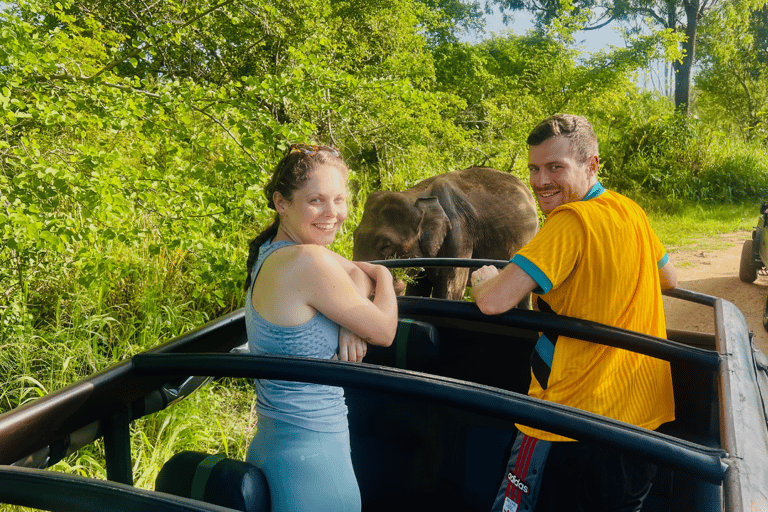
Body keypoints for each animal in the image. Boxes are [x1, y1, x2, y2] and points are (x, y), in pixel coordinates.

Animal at [352, 166, 536, 302]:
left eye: (386, 246)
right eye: (354, 236)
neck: (418, 196)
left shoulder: (459, 235)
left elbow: (450, 291)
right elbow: (418, 288)